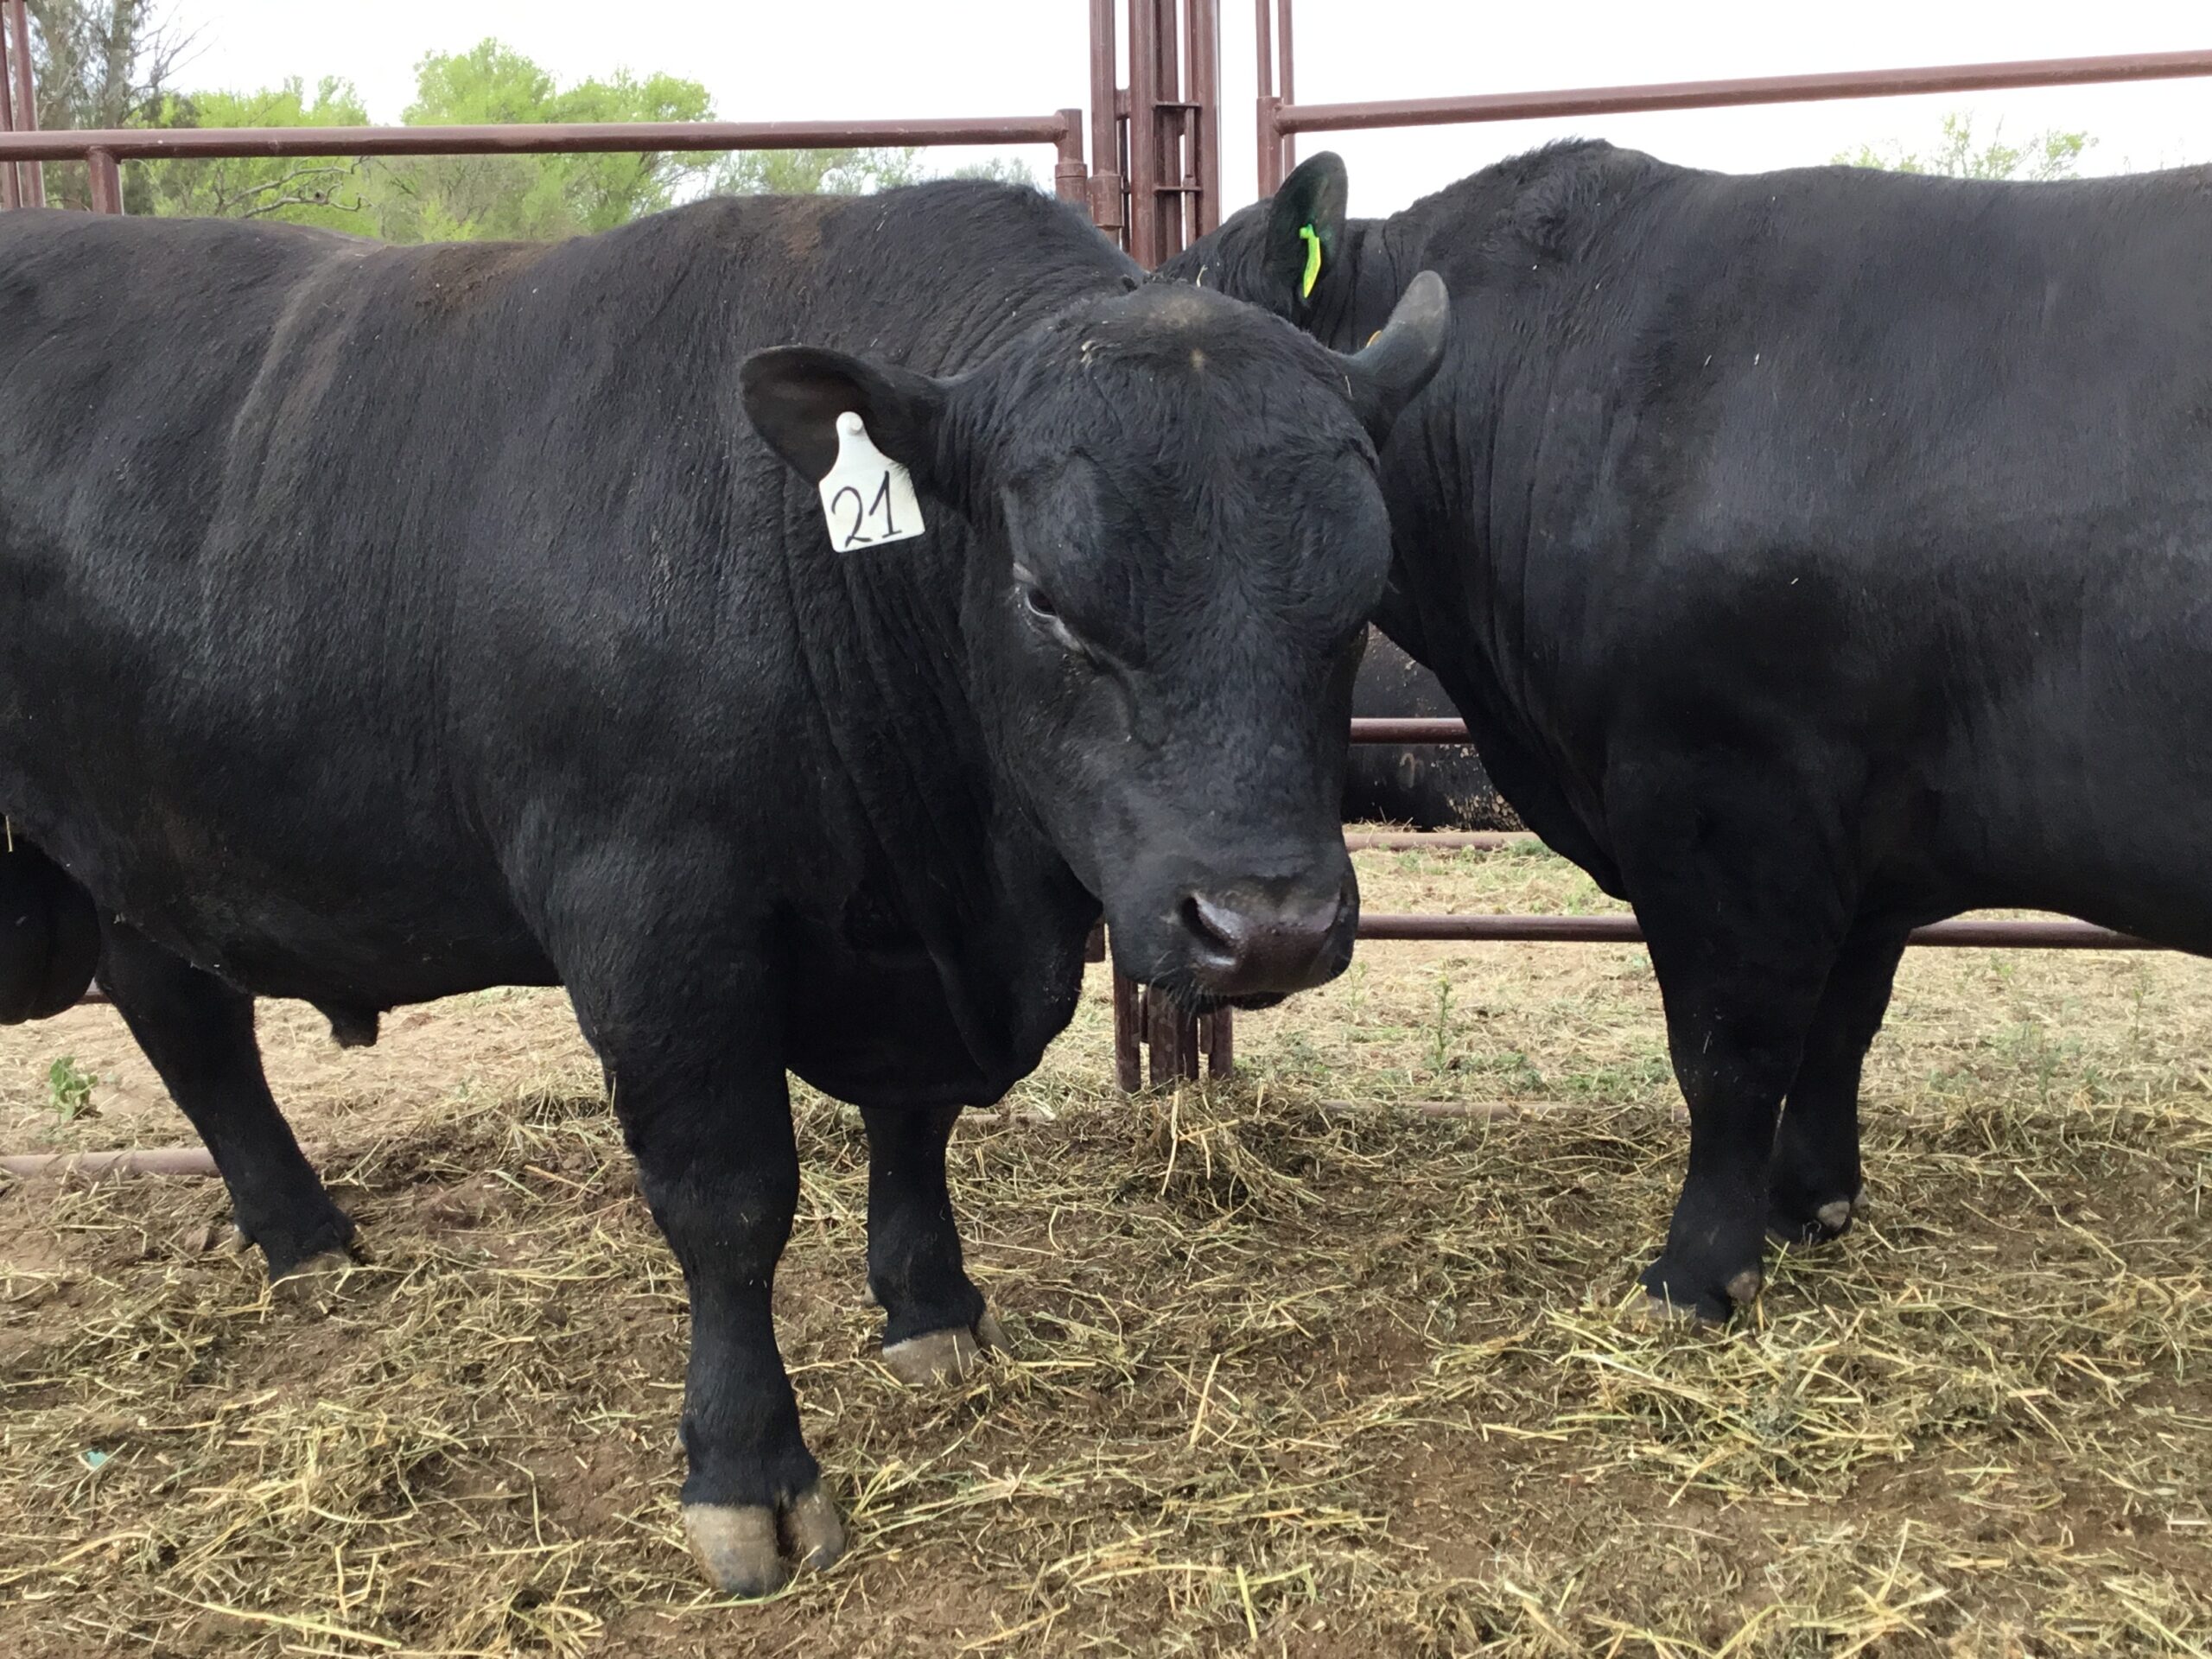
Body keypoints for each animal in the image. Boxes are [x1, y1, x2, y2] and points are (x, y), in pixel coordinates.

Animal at [0, 184, 1451, 1601]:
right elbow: (729, 1199)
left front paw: (932, 1314)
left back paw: (305, 1240)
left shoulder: (908, 960)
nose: (1269, 926)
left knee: (185, 1020)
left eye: (1360, 597)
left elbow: (915, 1128)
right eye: (1047, 598)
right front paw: (749, 1474)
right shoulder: (652, 921)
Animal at [1176, 145, 2212, 1327]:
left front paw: (1696, 1273)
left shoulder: (1722, 797)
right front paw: (1811, 1205)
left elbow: (1731, 1051)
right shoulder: (1858, 847)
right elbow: (1837, 1030)